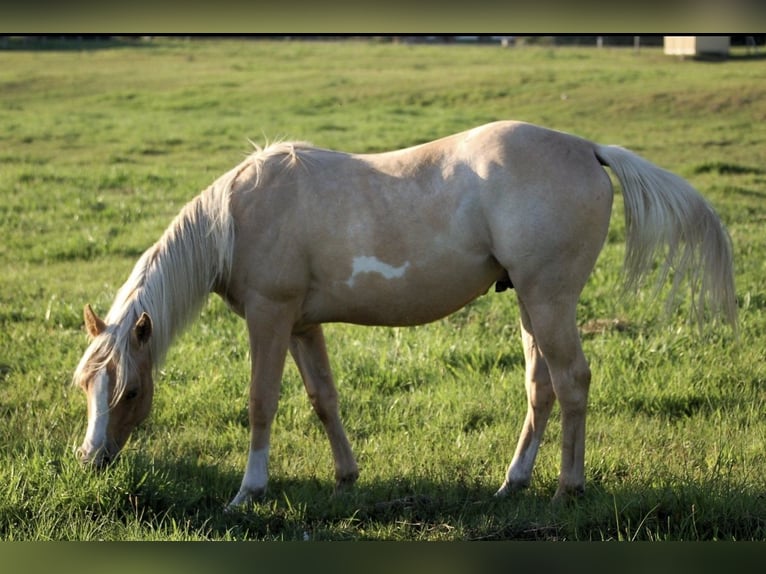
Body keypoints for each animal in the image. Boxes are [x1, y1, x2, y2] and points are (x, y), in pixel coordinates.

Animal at [72, 121, 737, 508]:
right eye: (86, 387)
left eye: (131, 392)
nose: (90, 460)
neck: (236, 218)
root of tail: (588, 149)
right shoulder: (302, 325)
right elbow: (323, 398)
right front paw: (346, 476)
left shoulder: (270, 318)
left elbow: (262, 402)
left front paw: (248, 491)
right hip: (530, 303)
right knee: (541, 388)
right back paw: (513, 482)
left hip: (549, 300)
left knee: (572, 382)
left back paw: (566, 489)